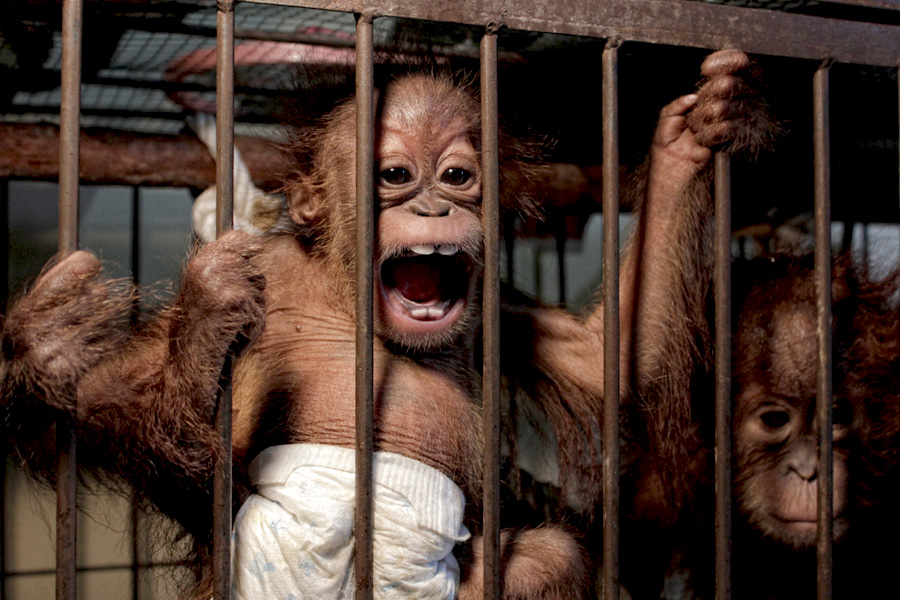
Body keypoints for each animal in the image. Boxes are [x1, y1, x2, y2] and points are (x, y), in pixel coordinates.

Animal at [1, 55, 761, 599]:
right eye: (394, 175)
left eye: (456, 176)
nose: (431, 209)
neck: (351, 300)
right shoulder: (268, 270)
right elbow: (130, 413)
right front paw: (63, 344)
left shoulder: (498, 313)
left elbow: (612, 357)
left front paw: (690, 137)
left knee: (545, 557)